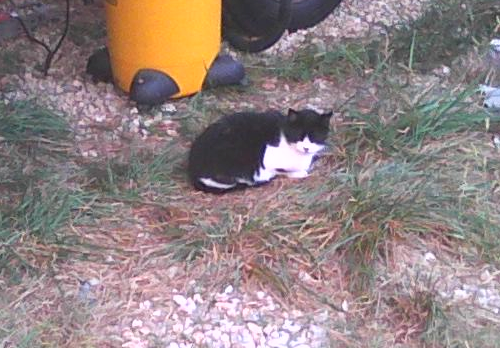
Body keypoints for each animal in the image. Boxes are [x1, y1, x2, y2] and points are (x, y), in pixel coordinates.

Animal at [188, 109, 332, 193]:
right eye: (299, 135)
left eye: (314, 136)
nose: (306, 148)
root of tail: (193, 170)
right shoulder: (269, 160)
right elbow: (282, 170)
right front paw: (298, 173)